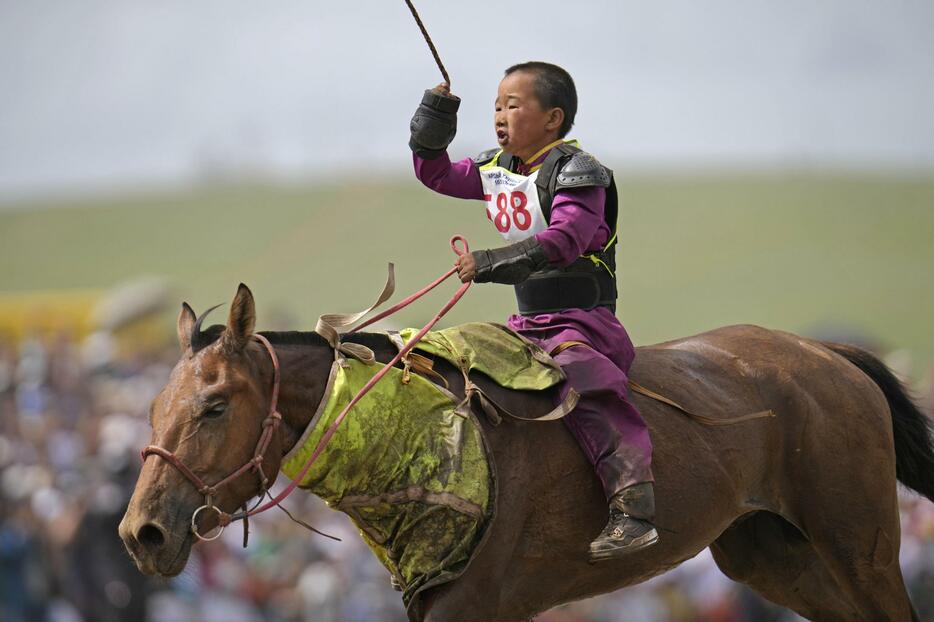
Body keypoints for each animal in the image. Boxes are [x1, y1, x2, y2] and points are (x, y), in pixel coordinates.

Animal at [120, 286, 932, 622]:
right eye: (154, 409)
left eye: (214, 406)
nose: (141, 533)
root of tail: (828, 356)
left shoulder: (476, 603)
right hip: (770, 555)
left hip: (860, 549)